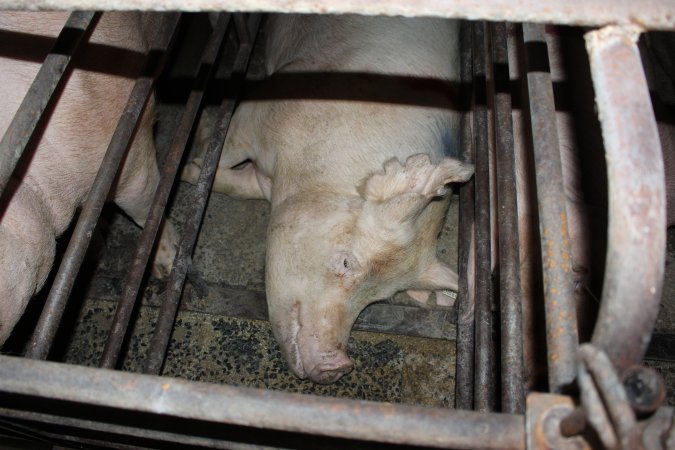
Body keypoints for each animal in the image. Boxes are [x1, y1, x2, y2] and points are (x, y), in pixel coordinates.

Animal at [182, 15, 472, 384]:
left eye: (380, 297)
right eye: (346, 262)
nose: (339, 366)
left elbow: (242, 183)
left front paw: (193, 168)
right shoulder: (262, 109)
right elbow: (223, 152)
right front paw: (192, 162)